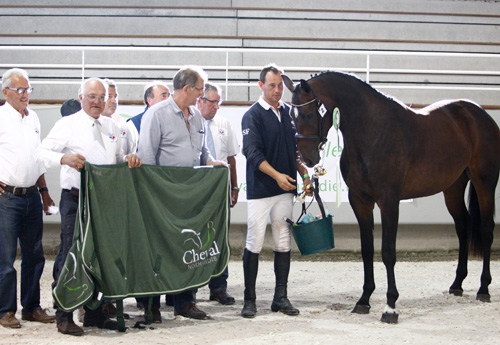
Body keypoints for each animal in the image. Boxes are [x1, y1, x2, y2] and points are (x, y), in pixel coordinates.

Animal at [284, 72, 500, 322]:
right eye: (291, 116)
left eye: (309, 114)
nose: (307, 158)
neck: (374, 133)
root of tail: (478, 113)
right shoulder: (361, 201)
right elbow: (367, 250)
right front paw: (363, 300)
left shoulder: (389, 202)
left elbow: (388, 252)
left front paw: (390, 307)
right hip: (453, 188)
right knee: (463, 227)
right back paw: (457, 285)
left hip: (484, 182)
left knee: (486, 229)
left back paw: (483, 289)